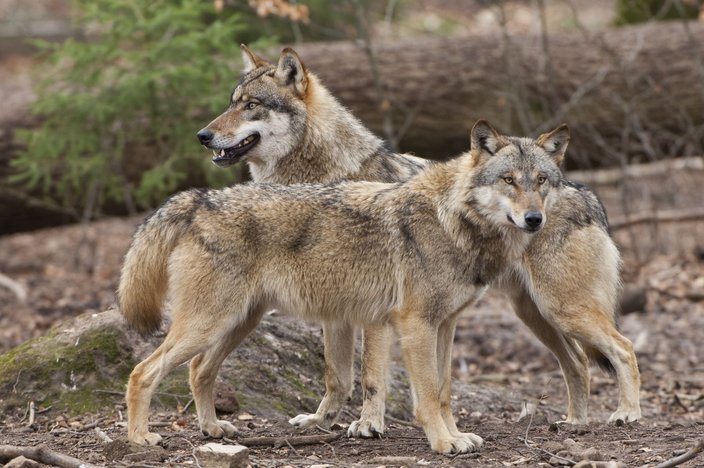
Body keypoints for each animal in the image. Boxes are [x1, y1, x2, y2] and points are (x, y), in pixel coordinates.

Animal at [121, 120, 568, 453]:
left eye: (542, 181)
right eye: (509, 180)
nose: (534, 219)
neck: (455, 220)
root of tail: (202, 200)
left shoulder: (446, 325)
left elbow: (443, 391)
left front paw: (457, 436)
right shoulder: (416, 325)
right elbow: (425, 396)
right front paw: (442, 443)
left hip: (236, 324)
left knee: (198, 370)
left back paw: (212, 430)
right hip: (208, 324)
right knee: (142, 372)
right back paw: (140, 437)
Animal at [193, 45, 642, 437]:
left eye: (251, 105)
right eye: (232, 102)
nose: (202, 135)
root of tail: (585, 193)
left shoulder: (376, 311)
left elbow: (371, 376)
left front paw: (368, 425)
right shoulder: (338, 307)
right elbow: (336, 375)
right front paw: (321, 421)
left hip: (562, 309)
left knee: (623, 348)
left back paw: (627, 414)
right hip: (536, 314)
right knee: (579, 363)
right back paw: (575, 422)